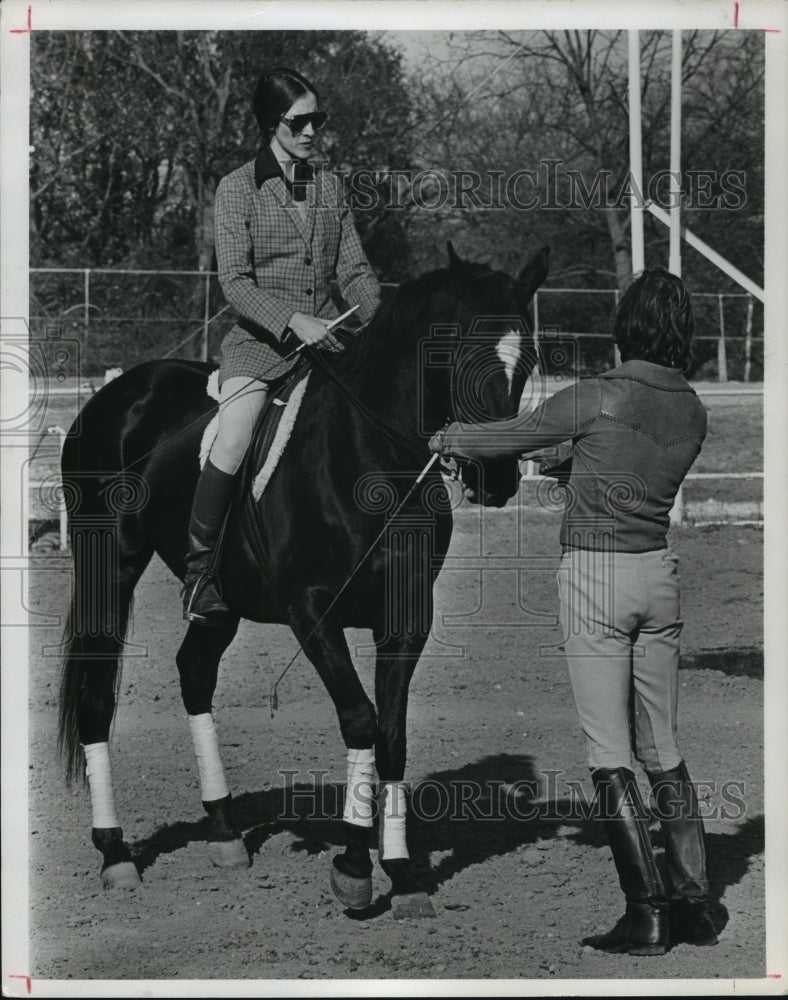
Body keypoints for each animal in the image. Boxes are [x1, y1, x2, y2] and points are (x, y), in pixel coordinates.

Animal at [58, 240, 552, 916]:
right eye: (450, 353)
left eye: (525, 359)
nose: (496, 477)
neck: (373, 459)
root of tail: (118, 393)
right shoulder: (313, 612)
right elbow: (361, 718)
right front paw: (353, 866)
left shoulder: (406, 620)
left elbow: (392, 733)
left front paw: (402, 873)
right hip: (107, 566)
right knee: (95, 694)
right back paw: (115, 854)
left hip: (221, 601)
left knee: (194, 672)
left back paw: (224, 832)